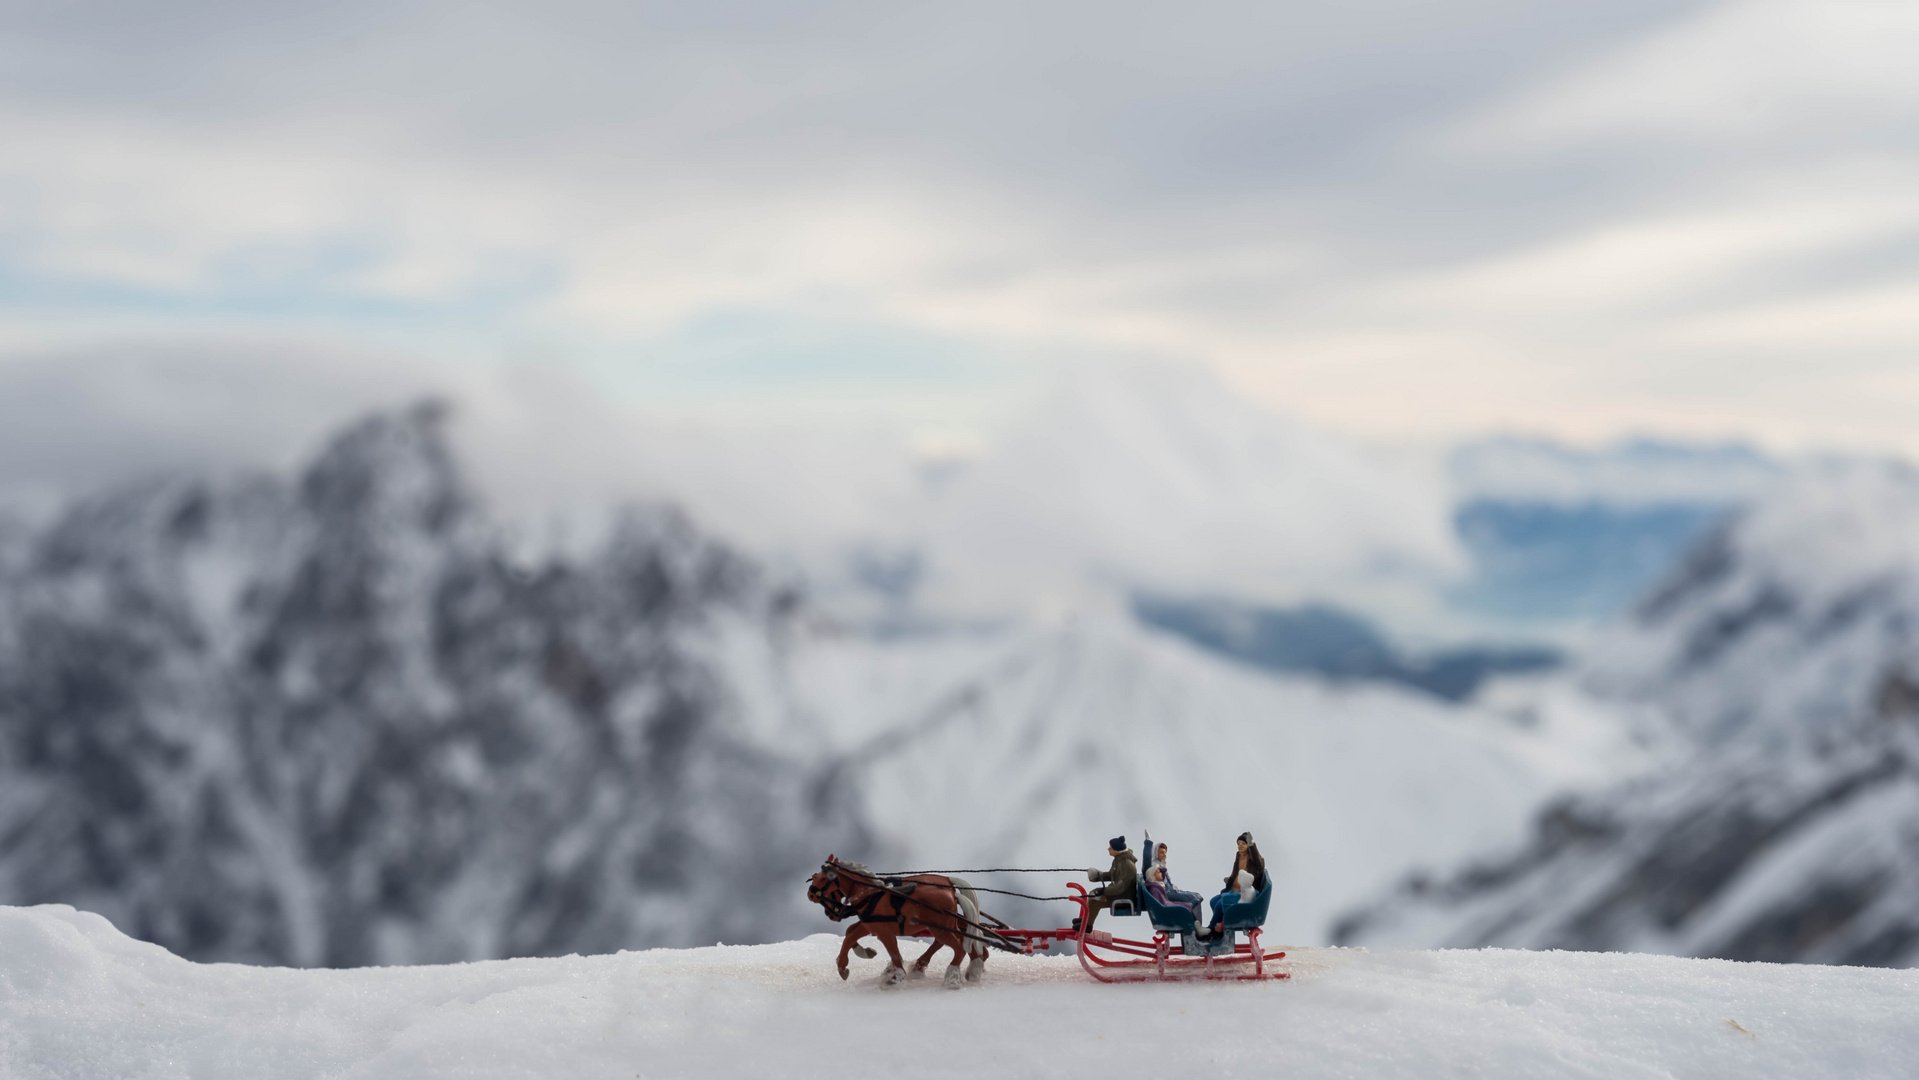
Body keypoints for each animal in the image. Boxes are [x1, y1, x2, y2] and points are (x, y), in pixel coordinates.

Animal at [805, 859, 990, 989]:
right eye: (814, 877)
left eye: (823, 878)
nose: (810, 895)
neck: (870, 893)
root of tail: (951, 889)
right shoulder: (870, 924)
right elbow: (850, 933)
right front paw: (854, 959)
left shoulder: (883, 931)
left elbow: (893, 952)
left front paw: (896, 977)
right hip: (946, 927)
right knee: (964, 940)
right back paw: (974, 966)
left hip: (940, 929)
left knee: (959, 948)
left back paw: (952, 978)